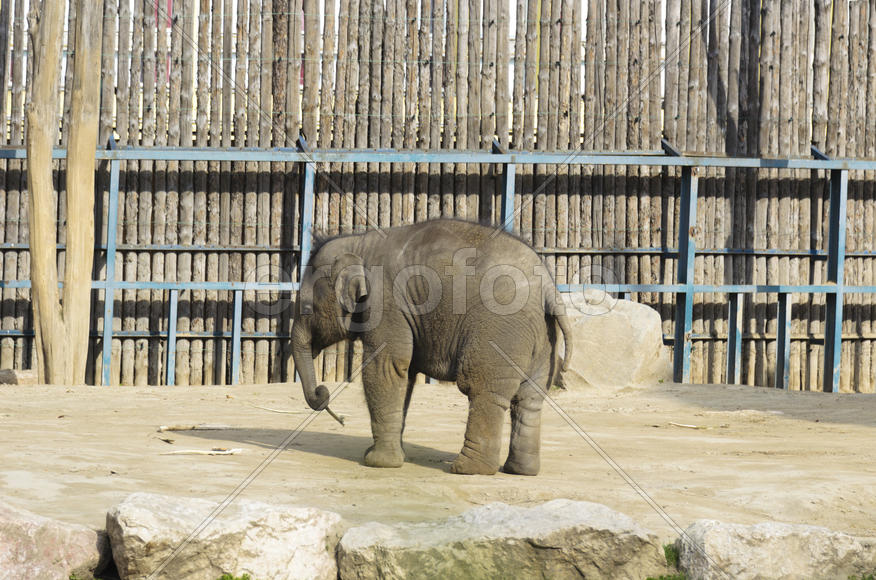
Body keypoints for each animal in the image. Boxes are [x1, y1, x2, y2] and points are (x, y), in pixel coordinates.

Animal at [291, 219, 572, 475]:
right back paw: (519, 470)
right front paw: (387, 455)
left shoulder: (386, 304)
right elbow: (404, 376)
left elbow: (387, 368)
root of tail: (550, 289)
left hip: (499, 329)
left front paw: (378, 463)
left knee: (482, 388)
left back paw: (468, 469)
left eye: (306, 308)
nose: (324, 395)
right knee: (529, 397)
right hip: (542, 338)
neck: (358, 242)